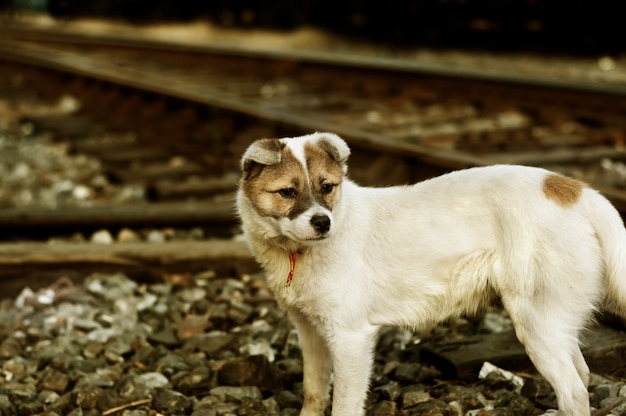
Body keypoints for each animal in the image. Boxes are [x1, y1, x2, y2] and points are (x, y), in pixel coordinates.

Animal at [235, 132, 624, 416]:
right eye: (287, 192)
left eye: (326, 187)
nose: (322, 223)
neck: (296, 251)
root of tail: (576, 190)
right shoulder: (311, 333)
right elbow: (313, 392)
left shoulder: (350, 338)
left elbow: (343, 405)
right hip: (554, 322)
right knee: (582, 375)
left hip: (537, 322)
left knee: (574, 391)